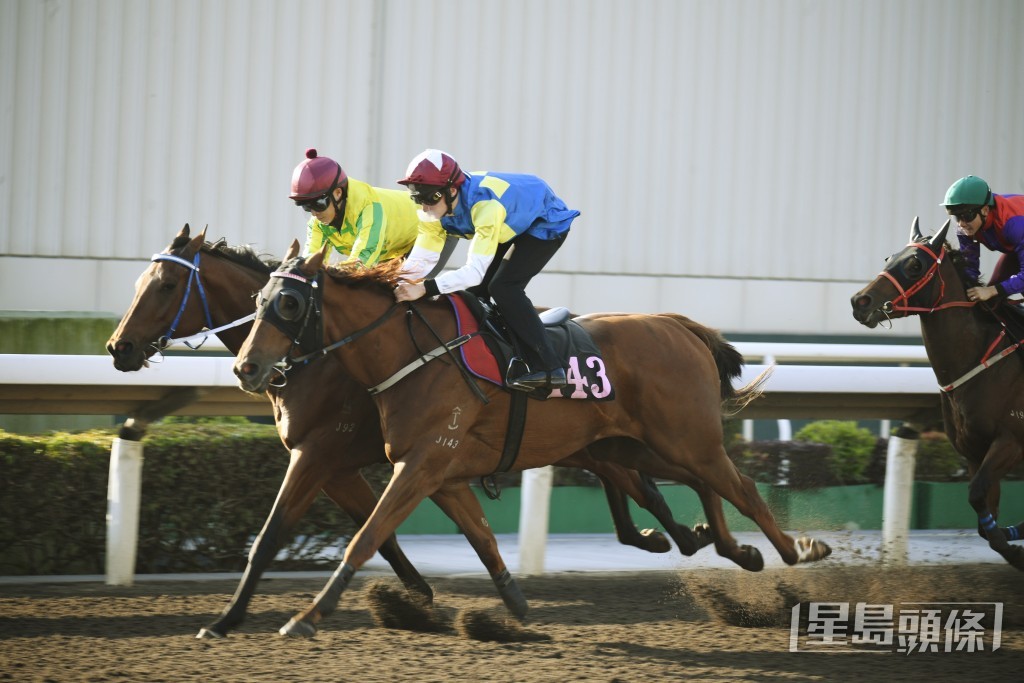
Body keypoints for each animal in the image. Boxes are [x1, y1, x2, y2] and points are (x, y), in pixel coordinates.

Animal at [103, 225, 712, 643]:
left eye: (167, 284)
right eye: (257, 304)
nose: (118, 348)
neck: (316, 360)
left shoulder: (323, 453)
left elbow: (282, 536)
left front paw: (235, 619)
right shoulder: (342, 465)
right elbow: (386, 534)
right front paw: (415, 597)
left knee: (648, 481)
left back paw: (685, 537)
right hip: (589, 441)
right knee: (635, 483)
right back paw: (675, 538)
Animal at [232, 240, 831, 634]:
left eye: (288, 303)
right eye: (257, 300)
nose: (245, 367)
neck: (409, 352)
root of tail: (677, 324)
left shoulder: (411, 461)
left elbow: (367, 535)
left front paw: (305, 617)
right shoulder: (434, 469)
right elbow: (479, 537)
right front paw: (512, 611)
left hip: (682, 438)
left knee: (742, 487)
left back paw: (798, 549)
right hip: (638, 444)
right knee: (707, 485)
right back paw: (736, 550)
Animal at [847, 219, 1024, 573]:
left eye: (915, 265)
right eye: (888, 257)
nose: (860, 302)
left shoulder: (1010, 442)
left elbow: (976, 497)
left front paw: (1016, 554)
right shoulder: (974, 453)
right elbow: (984, 520)